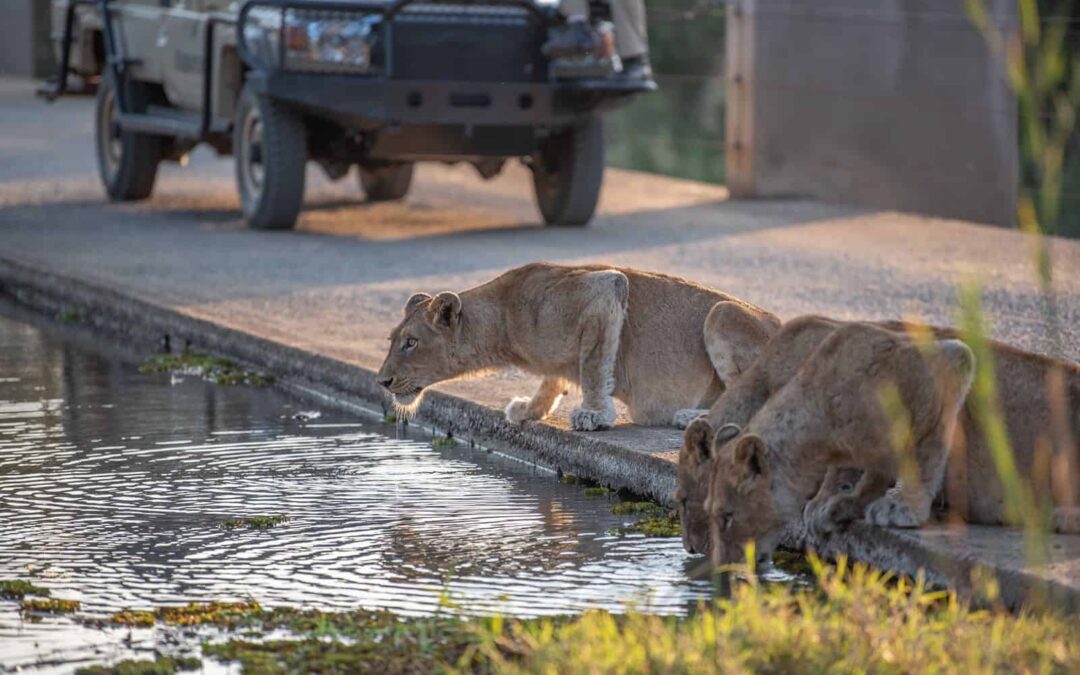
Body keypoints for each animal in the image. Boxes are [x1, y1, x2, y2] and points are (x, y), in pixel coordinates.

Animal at [375, 262, 779, 431]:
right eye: (392, 340)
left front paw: (594, 415)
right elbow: (552, 380)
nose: (382, 382)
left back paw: (693, 418)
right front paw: (529, 410)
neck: (503, 318)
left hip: (722, 313)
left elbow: (594, 365)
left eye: (411, 342)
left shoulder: (604, 291)